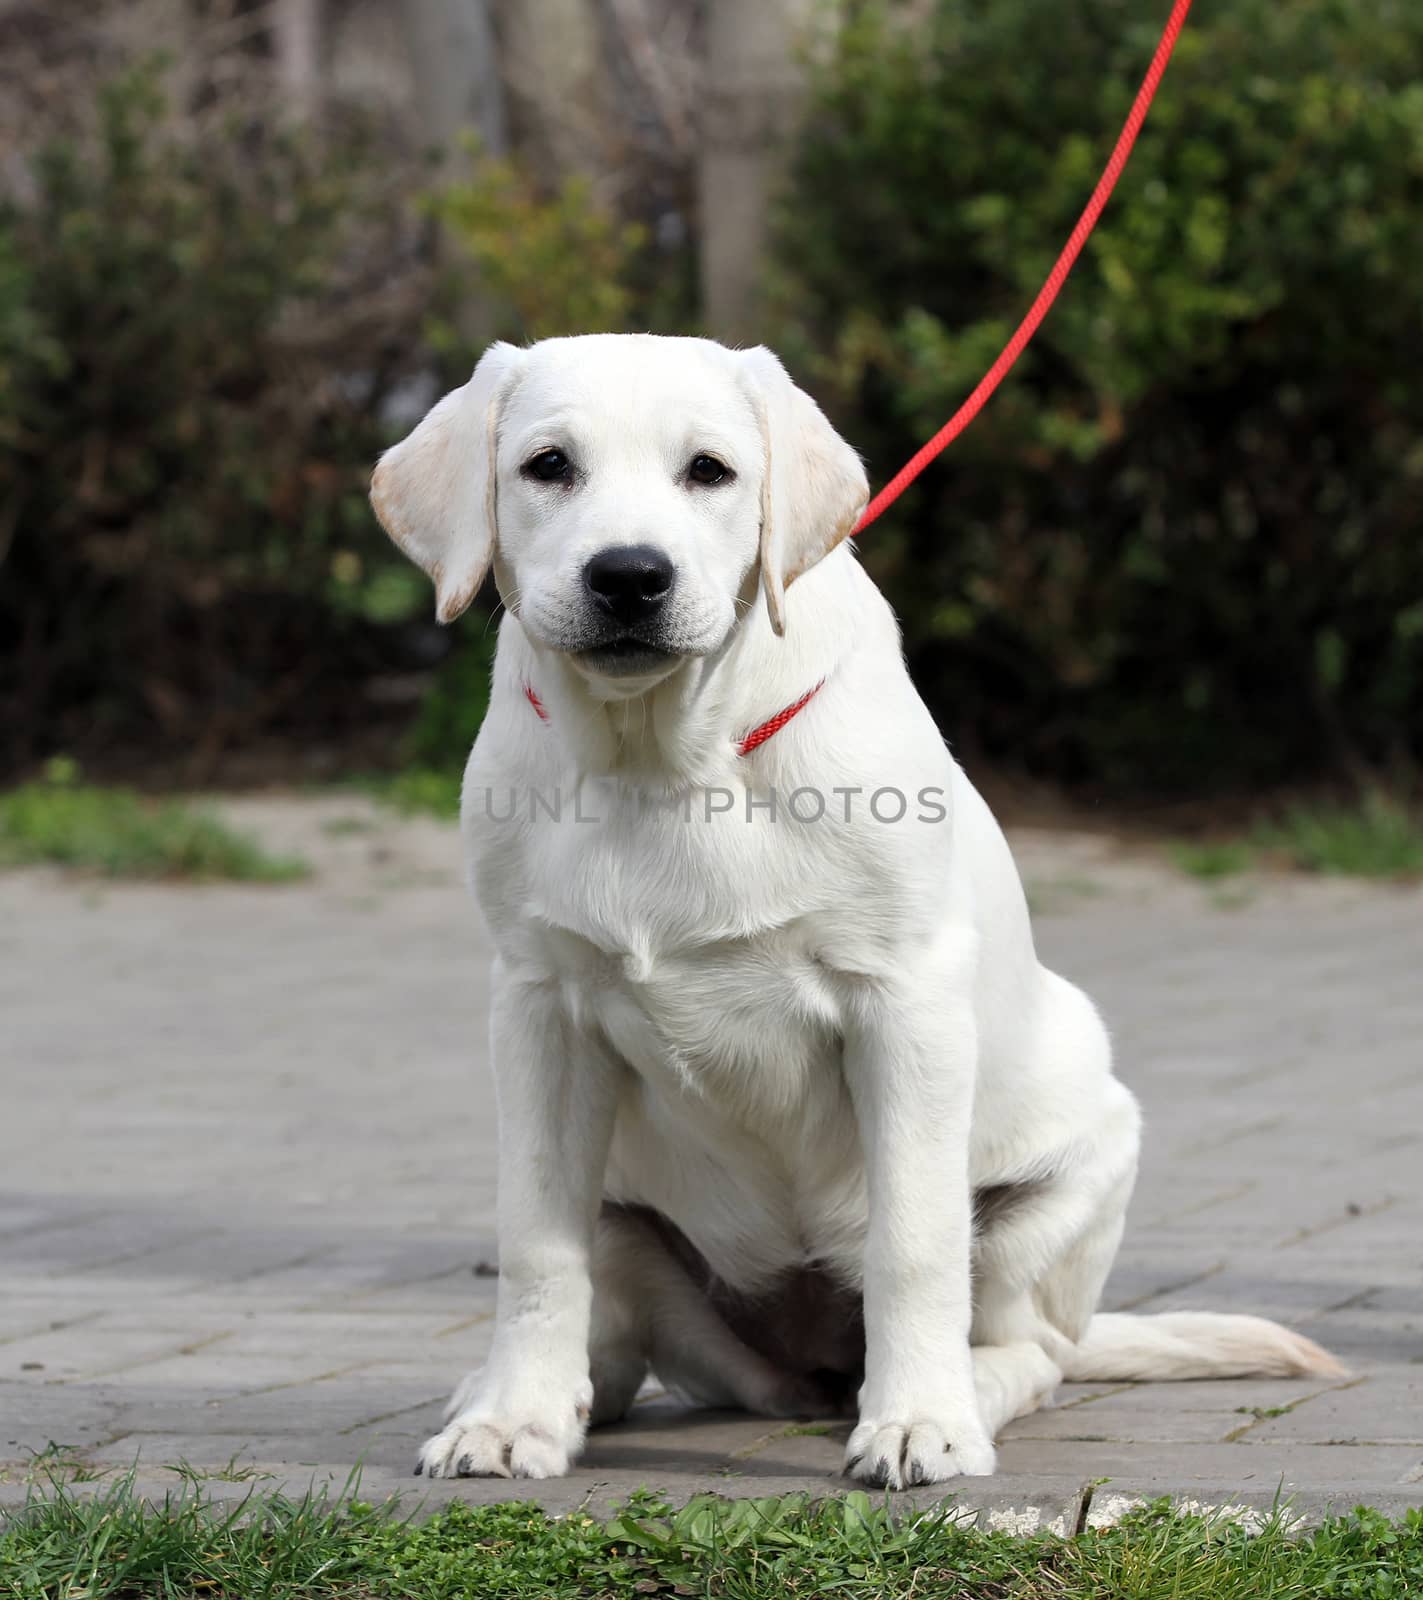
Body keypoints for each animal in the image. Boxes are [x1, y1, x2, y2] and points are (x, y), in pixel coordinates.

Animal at [369, 334, 1344, 1484]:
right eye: (547, 465)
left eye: (709, 470)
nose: (629, 576)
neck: (663, 762)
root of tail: (810, 1367)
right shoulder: (536, 1007)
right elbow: (533, 1242)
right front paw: (509, 1418)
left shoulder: (904, 1004)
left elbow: (912, 1241)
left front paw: (917, 1421)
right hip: (628, 1215)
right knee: (622, 1337)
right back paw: (553, 1396)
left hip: (1074, 1168)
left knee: (1027, 1348)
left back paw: (954, 1396)